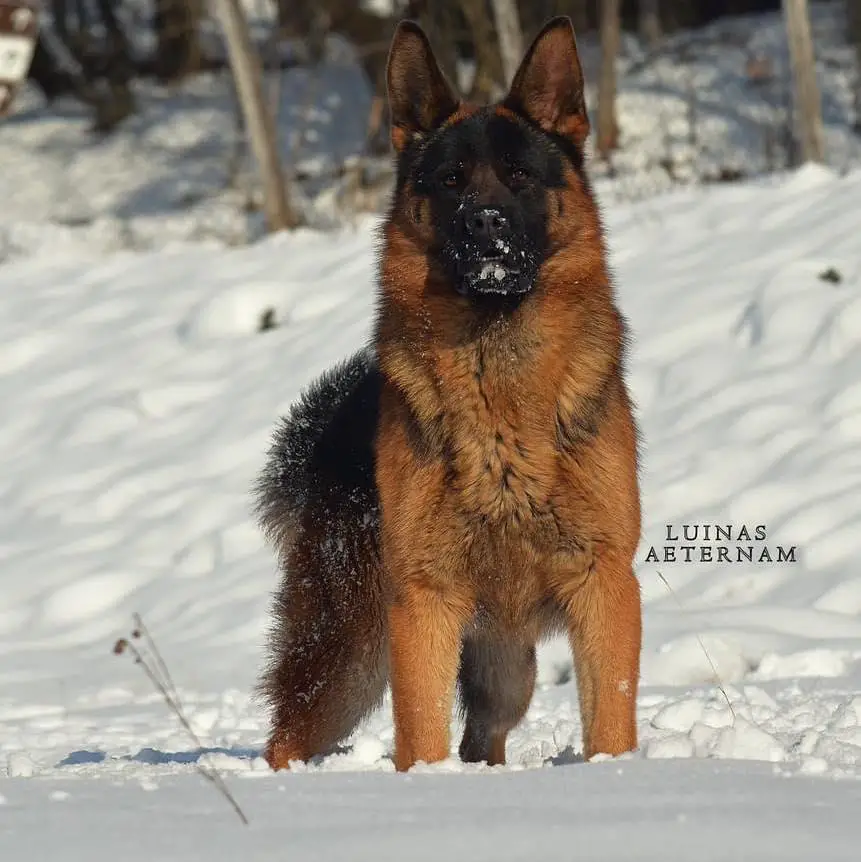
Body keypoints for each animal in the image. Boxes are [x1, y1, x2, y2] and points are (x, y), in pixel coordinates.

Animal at [255, 15, 640, 776]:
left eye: (519, 175)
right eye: (450, 180)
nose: (484, 221)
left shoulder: (604, 584)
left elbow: (609, 723)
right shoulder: (423, 601)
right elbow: (420, 734)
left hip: (504, 667)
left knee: (481, 737)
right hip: (349, 652)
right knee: (288, 736)